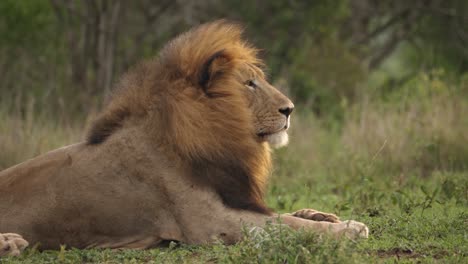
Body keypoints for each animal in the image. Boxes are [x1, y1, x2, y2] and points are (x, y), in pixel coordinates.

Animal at [0, 21, 368, 258]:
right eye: (249, 84)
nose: (290, 109)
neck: (217, 137)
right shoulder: (212, 224)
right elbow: (286, 224)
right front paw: (350, 228)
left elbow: (285, 215)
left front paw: (321, 215)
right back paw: (11, 243)